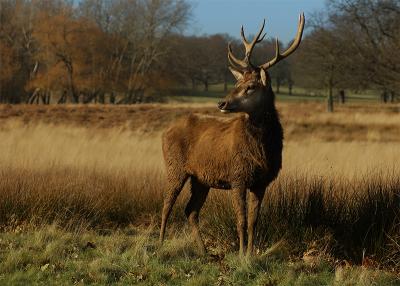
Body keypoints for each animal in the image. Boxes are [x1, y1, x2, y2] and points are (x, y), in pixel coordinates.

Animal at [159, 13, 306, 256]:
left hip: (201, 178)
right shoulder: (238, 176)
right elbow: (241, 220)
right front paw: (240, 254)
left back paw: (204, 251)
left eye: (251, 86)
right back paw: (160, 244)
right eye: (237, 82)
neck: (261, 152)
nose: (222, 103)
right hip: (175, 166)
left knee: (190, 210)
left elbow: (254, 221)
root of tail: (164, 132)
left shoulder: (262, 182)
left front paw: (251, 254)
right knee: (166, 205)